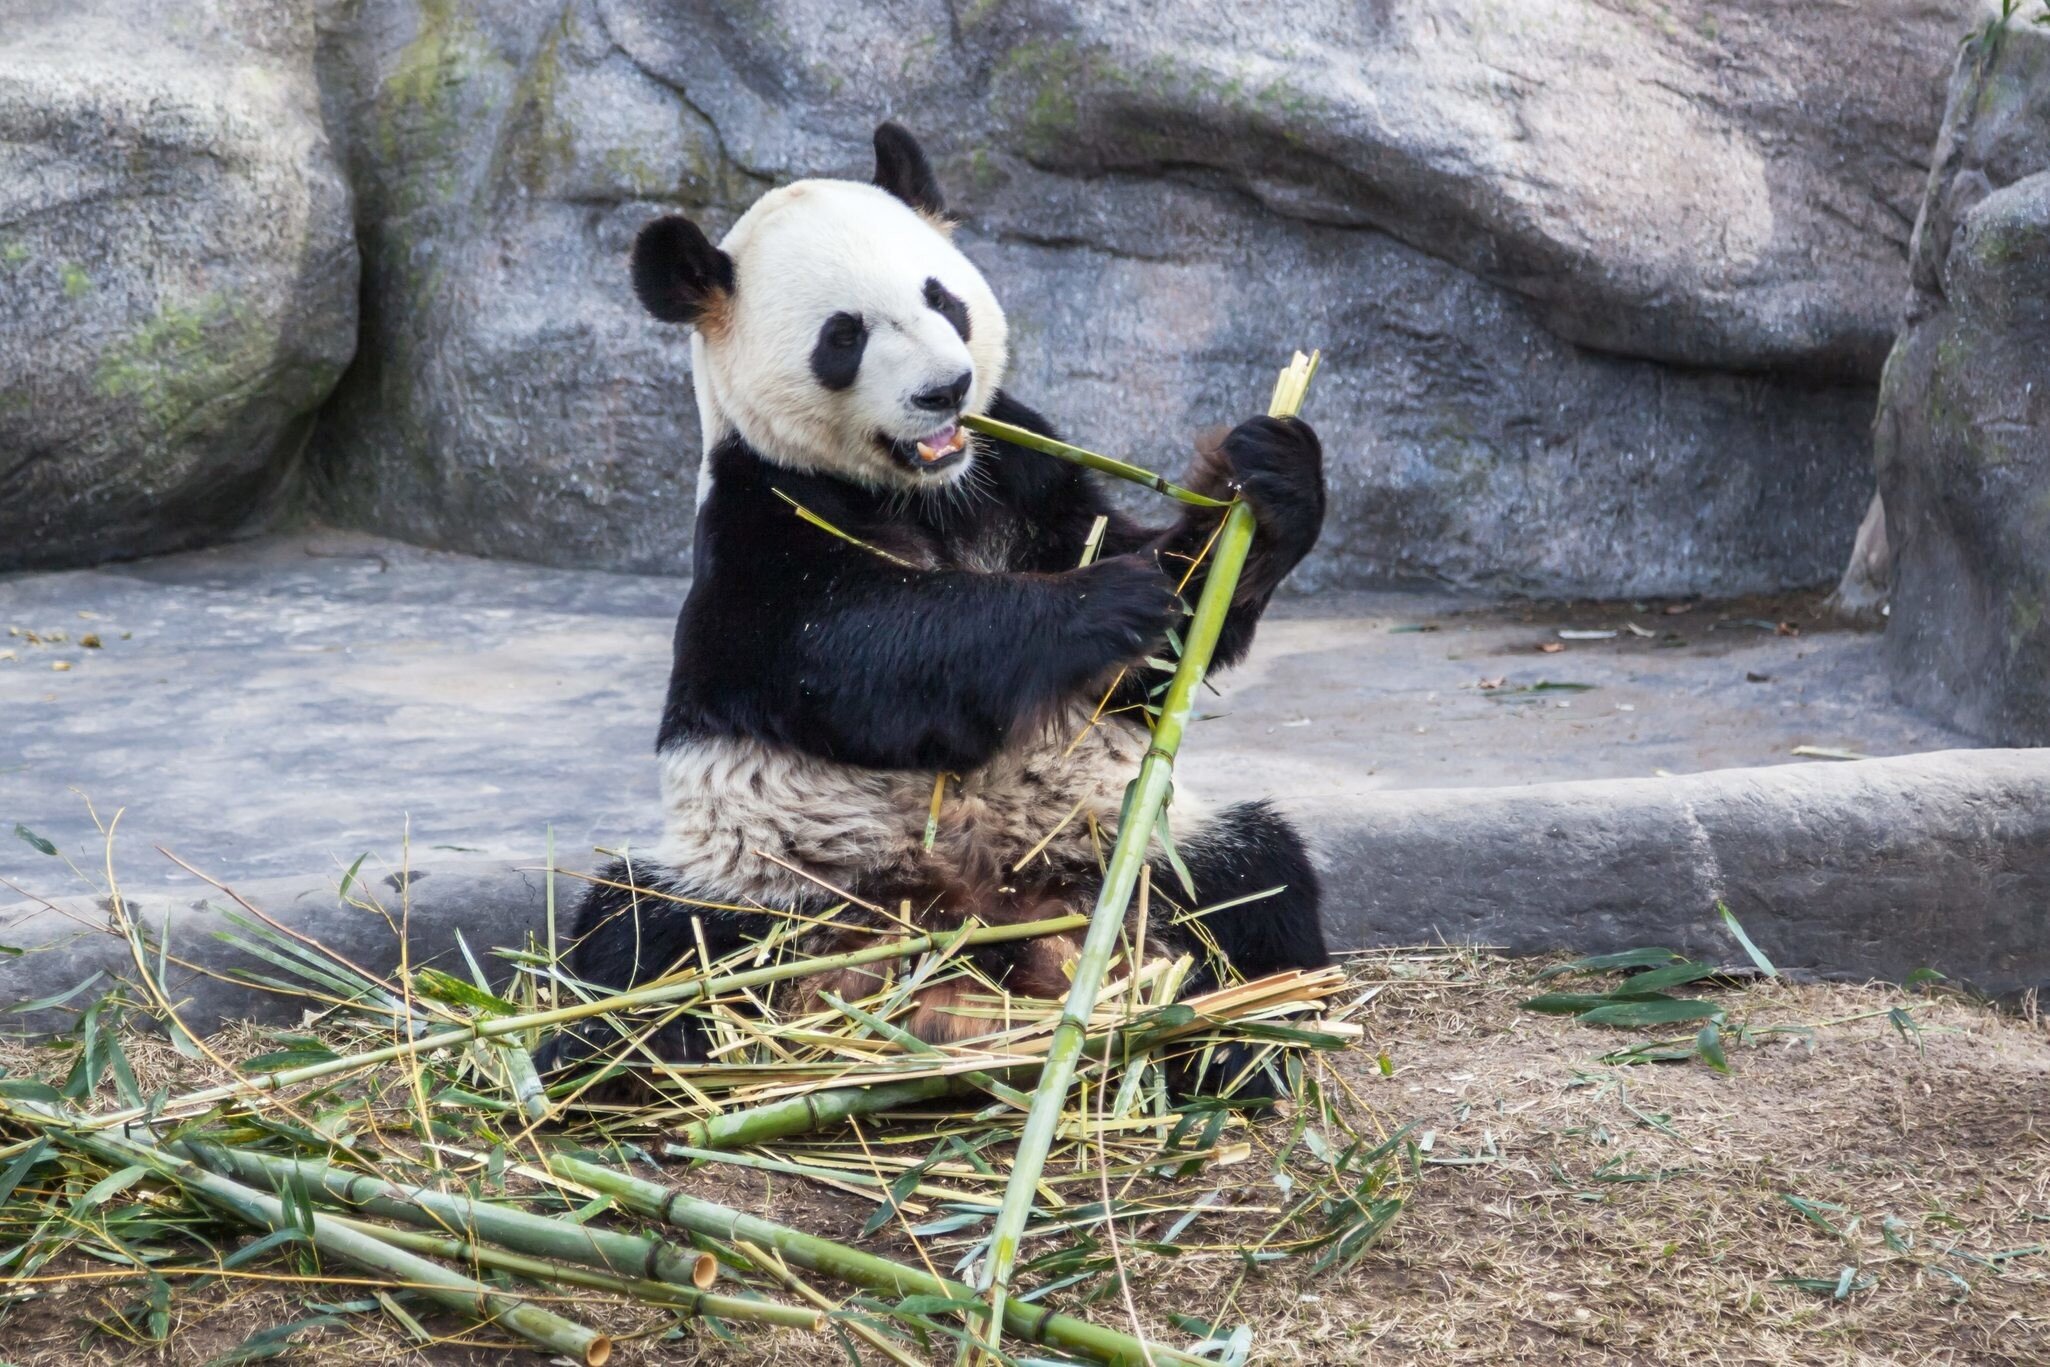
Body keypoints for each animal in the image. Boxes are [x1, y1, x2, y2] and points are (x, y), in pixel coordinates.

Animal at [547, 123, 1330, 1076]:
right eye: (843, 336)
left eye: (942, 298)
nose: (944, 391)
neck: (928, 493)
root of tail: (969, 942)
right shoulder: (760, 516)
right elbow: (852, 655)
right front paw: (1104, 601)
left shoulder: (1021, 473)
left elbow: (1156, 641)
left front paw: (1266, 478)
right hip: (770, 884)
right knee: (642, 941)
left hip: (1121, 843)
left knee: (1254, 885)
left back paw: (1238, 1041)